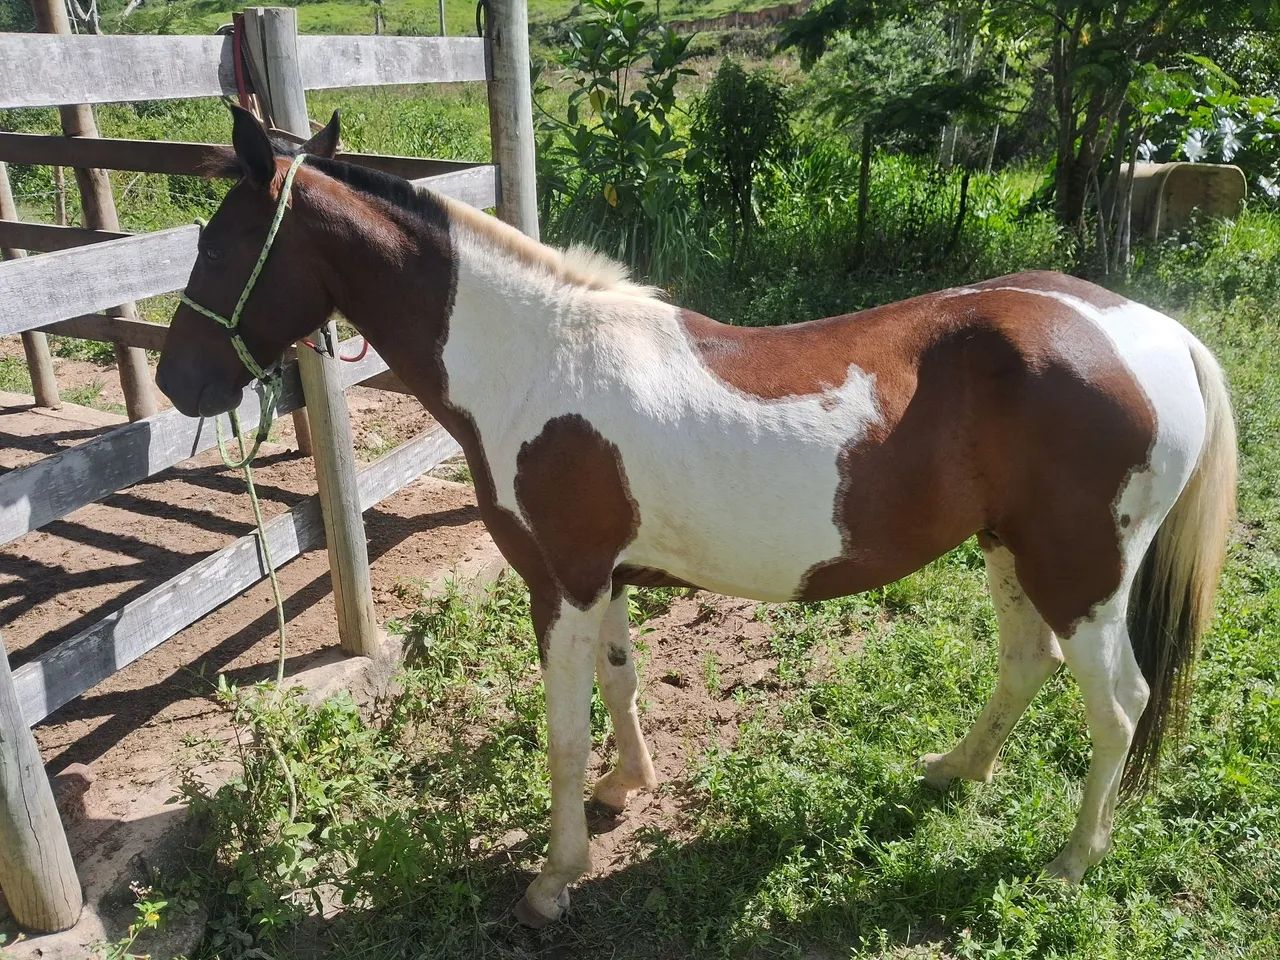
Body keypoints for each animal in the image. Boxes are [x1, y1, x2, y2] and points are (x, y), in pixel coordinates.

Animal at [156, 107, 1237, 927]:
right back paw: (952, 771)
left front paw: (554, 878)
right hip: (1010, 550)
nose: (176, 384)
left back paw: (1071, 861)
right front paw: (623, 791)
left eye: (218, 242)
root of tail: (1155, 334)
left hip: (1082, 572)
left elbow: (560, 732)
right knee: (1025, 665)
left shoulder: (558, 583)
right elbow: (621, 685)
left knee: (1118, 706)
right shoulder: (603, 579)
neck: (533, 360)